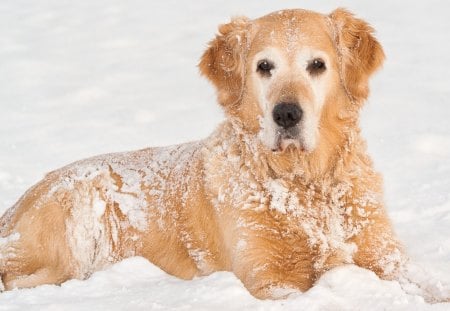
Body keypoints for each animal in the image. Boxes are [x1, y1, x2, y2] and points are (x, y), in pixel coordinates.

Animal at [0, 7, 448, 304]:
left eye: (317, 65)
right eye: (264, 66)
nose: (287, 114)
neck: (304, 181)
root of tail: (15, 208)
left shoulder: (385, 254)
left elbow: (428, 283)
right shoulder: (267, 277)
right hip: (79, 210)